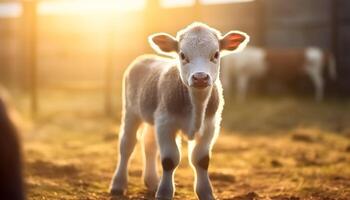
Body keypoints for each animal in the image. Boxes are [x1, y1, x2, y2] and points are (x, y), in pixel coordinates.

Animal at [109, 22, 249, 199]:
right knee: (127, 145)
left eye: (216, 54)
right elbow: (169, 160)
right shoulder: (166, 123)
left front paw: (206, 193)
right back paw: (118, 185)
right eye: (182, 55)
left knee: (149, 144)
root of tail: (145, 57)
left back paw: (152, 181)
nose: (200, 77)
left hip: (152, 118)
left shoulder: (210, 126)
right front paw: (164, 193)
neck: (197, 106)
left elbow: (202, 160)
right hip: (131, 111)